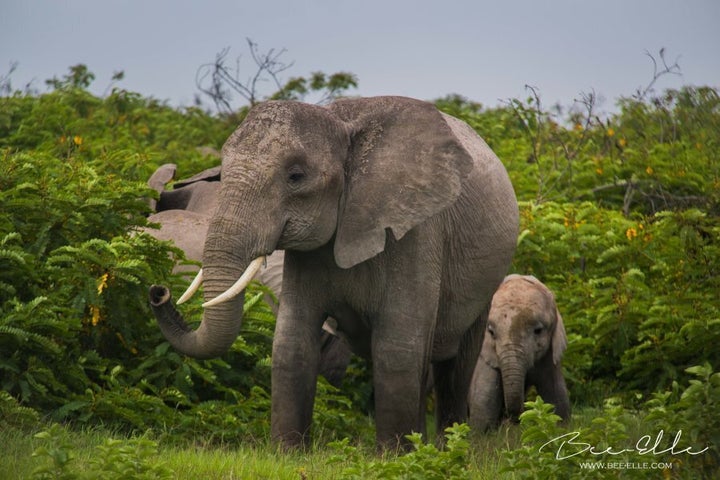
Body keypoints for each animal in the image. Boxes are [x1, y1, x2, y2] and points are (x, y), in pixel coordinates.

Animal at [148, 95, 516, 448]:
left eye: (296, 176)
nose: (158, 291)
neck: (343, 124)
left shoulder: (417, 233)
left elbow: (397, 350)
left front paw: (394, 457)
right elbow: (291, 343)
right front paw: (287, 454)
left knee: (455, 368)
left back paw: (448, 448)